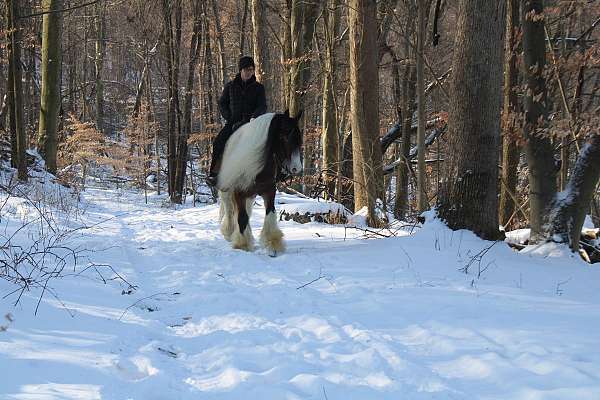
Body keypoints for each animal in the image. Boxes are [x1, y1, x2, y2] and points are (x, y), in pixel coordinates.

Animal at [217, 109, 304, 256]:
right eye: (284, 137)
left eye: (299, 138)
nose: (296, 168)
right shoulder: (238, 192)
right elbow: (241, 217)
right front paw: (242, 246)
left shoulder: (269, 190)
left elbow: (270, 213)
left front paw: (273, 244)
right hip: (227, 190)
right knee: (229, 209)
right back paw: (229, 232)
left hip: (250, 194)